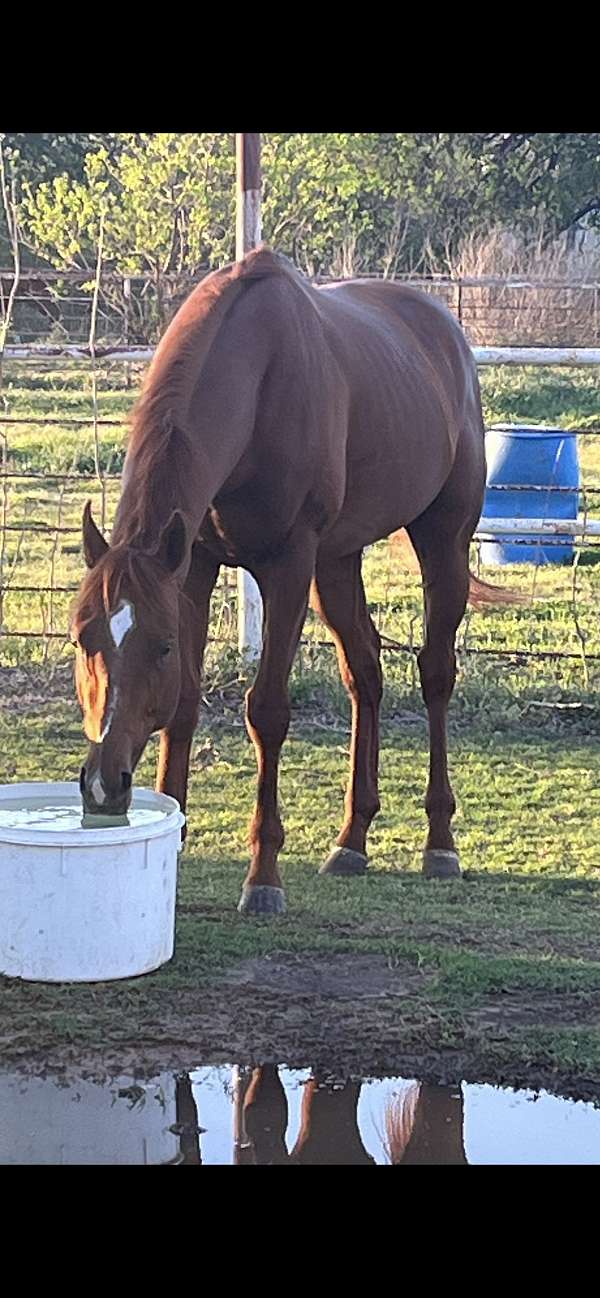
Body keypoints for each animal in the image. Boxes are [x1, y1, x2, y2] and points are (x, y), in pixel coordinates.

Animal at [71, 247, 510, 916]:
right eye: (82, 639)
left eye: (160, 647)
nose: (102, 786)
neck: (256, 384)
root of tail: (445, 330)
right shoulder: (192, 569)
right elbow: (185, 705)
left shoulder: (288, 566)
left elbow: (268, 710)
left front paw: (263, 876)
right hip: (340, 560)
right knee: (365, 673)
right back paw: (352, 840)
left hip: (442, 541)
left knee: (436, 672)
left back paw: (440, 844)